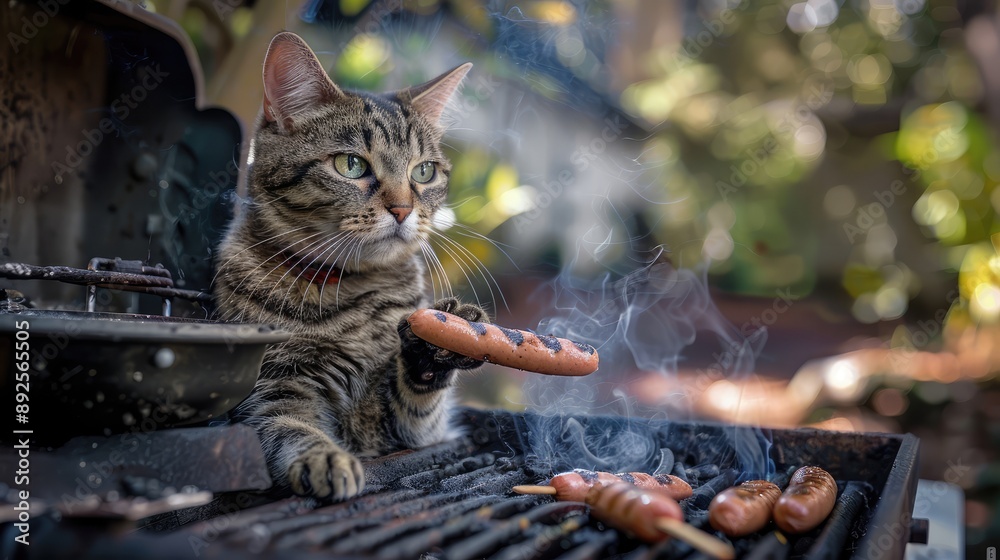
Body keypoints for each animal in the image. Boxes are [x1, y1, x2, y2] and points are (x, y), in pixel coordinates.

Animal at [215, 32, 488, 500]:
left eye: (425, 172)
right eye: (351, 164)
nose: (403, 209)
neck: (349, 293)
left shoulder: (416, 434)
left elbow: (420, 404)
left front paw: (440, 341)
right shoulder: (270, 388)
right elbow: (289, 425)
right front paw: (325, 458)